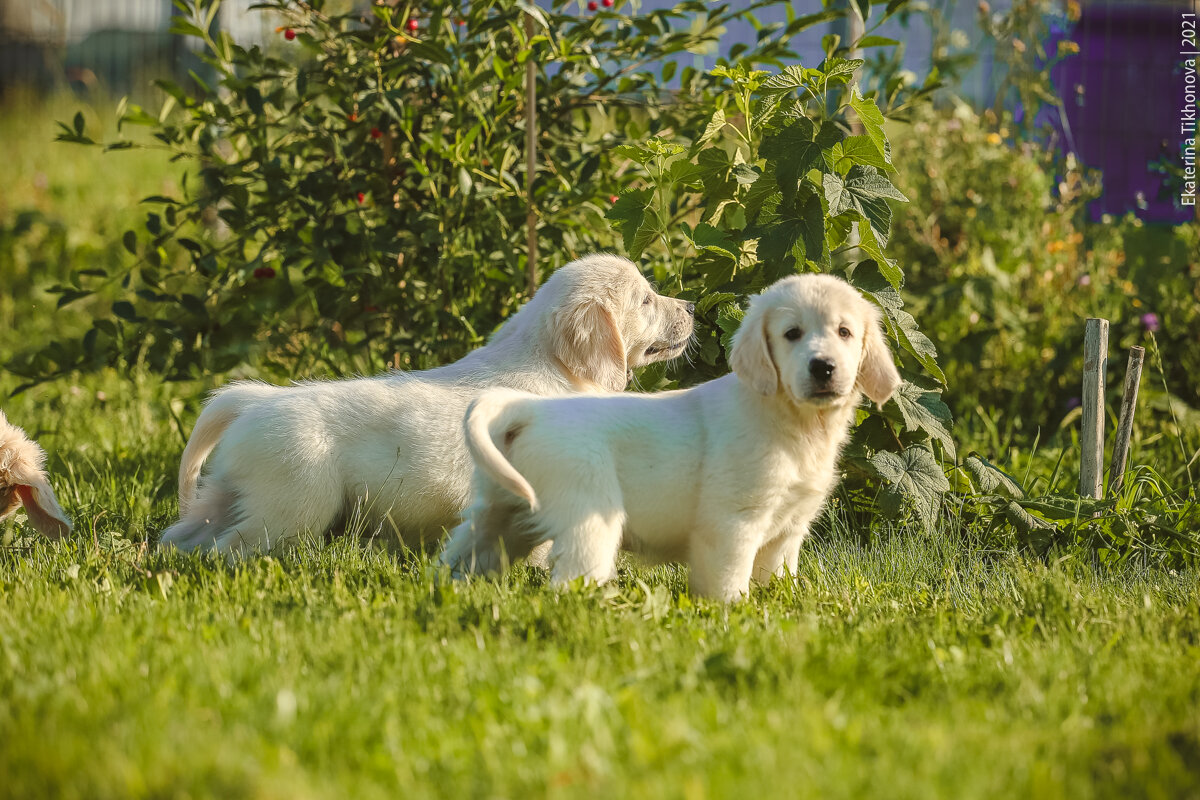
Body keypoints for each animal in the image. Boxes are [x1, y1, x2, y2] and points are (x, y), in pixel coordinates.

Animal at [159, 256, 696, 556]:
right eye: (645, 301)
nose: (691, 307)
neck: (551, 363)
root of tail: (259, 400)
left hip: (228, 495)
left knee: (182, 538)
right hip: (294, 505)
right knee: (230, 549)